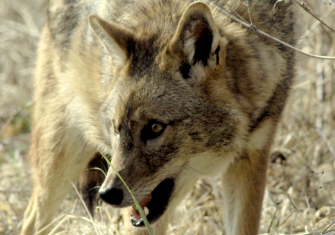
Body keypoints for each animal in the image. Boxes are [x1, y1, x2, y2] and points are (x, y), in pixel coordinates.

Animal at [21, 0, 294, 234]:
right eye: (116, 129)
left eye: (154, 128)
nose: (107, 195)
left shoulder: (252, 156)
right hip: (60, 160)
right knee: (31, 220)